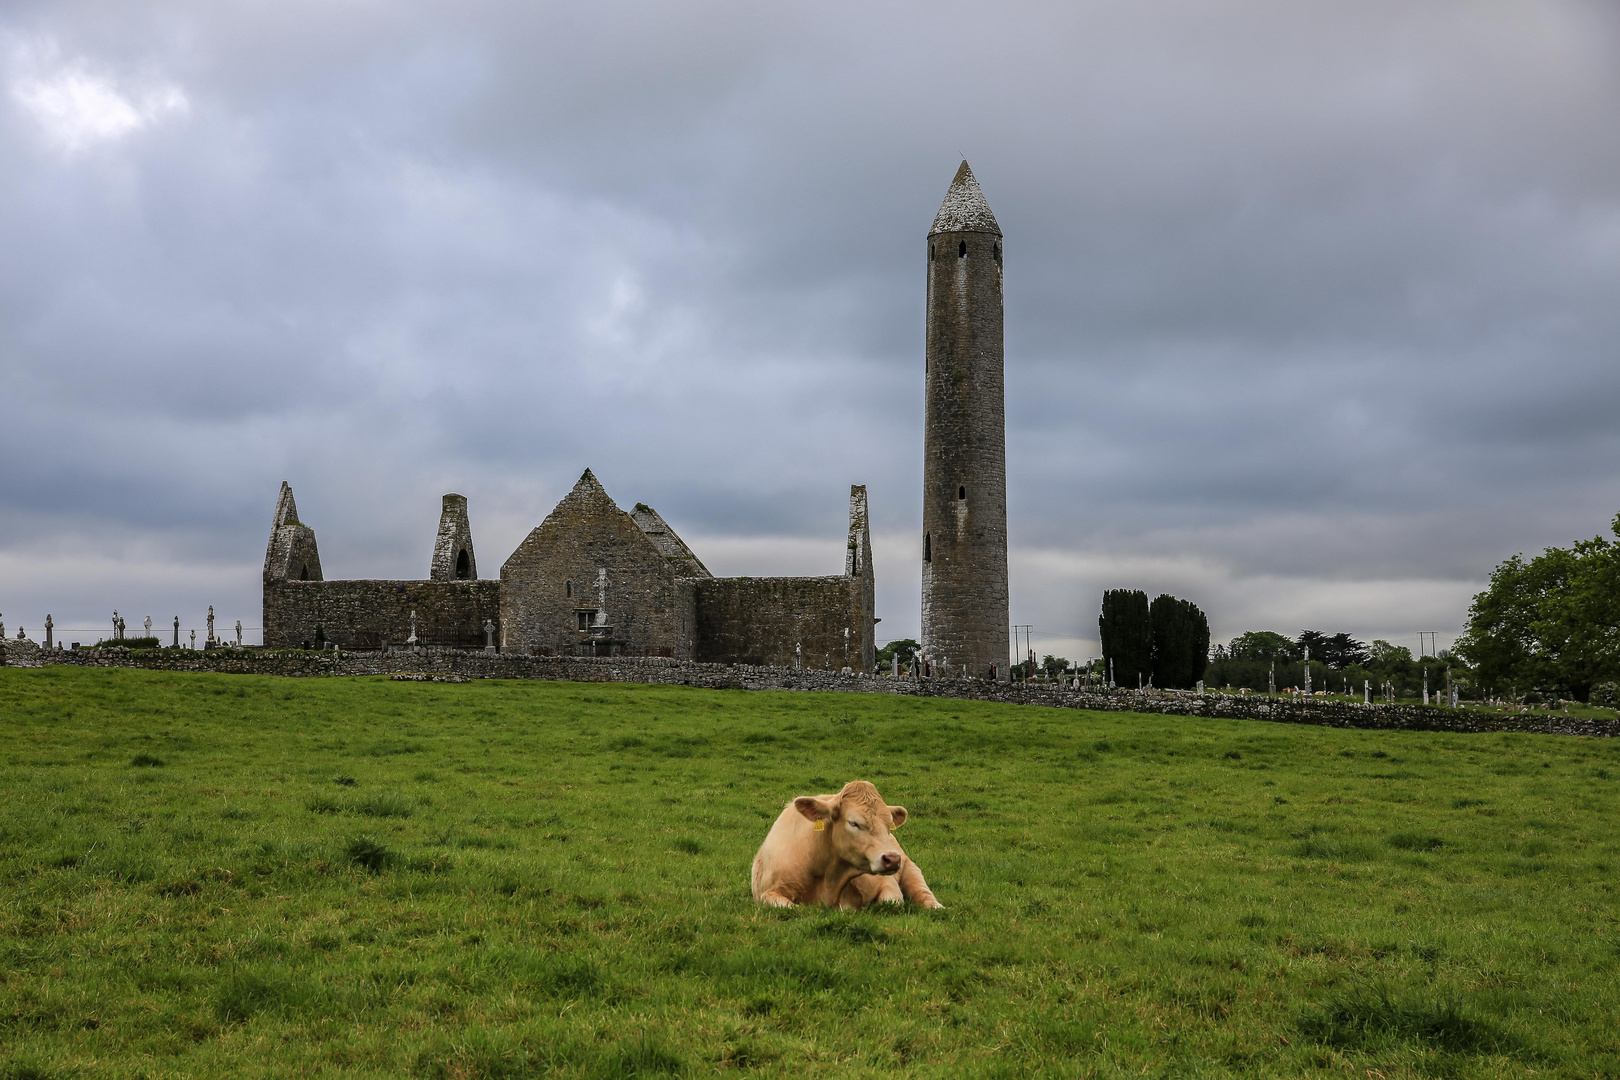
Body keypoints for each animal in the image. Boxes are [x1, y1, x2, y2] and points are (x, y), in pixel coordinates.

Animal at [748, 777, 946, 913]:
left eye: (889, 824)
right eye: (854, 823)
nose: (892, 859)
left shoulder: (888, 884)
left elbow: (890, 902)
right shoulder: (768, 894)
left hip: (911, 870)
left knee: (923, 892)